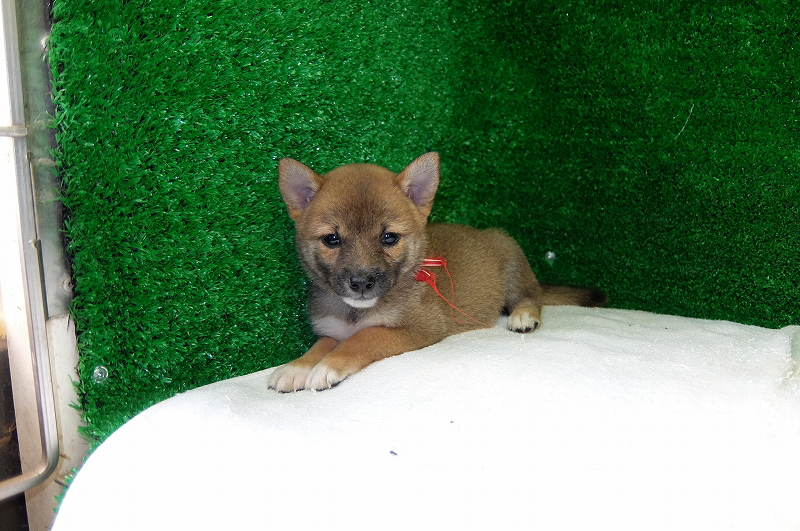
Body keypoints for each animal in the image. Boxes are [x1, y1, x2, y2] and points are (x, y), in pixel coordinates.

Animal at [268, 152, 605, 392]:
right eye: (331, 239)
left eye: (388, 237)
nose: (361, 283)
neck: (354, 313)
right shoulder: (331, 330)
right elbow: (320, 345)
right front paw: (297, 367)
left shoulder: (421, 327)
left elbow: (365, 337)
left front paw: (328, 366)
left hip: (511, 261)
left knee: (531, 296)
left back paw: (523, 315)